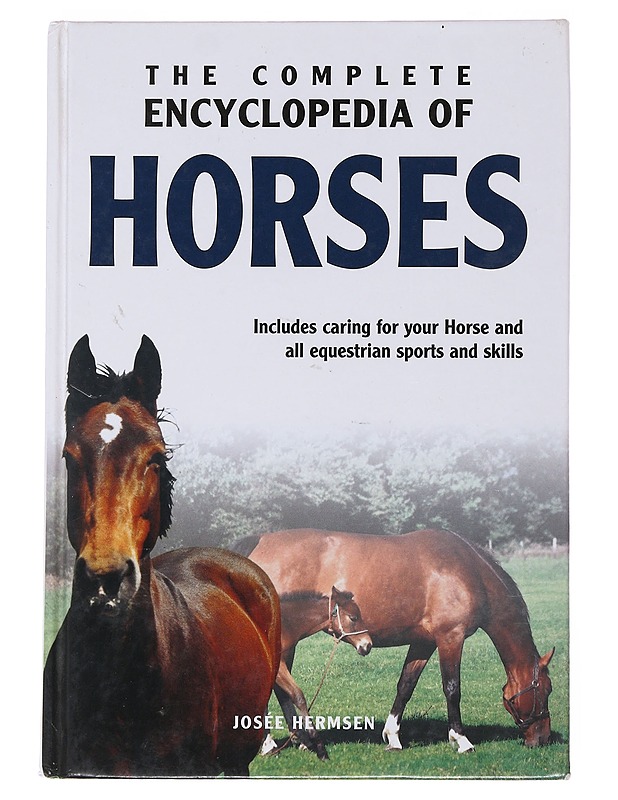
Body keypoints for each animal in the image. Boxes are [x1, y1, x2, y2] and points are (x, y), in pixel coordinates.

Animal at [262, 586, 372, 760]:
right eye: (353, 618)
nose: (368, 645)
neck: (283, 624)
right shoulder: (278, 667)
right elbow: (298, 696)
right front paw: (319, 748)